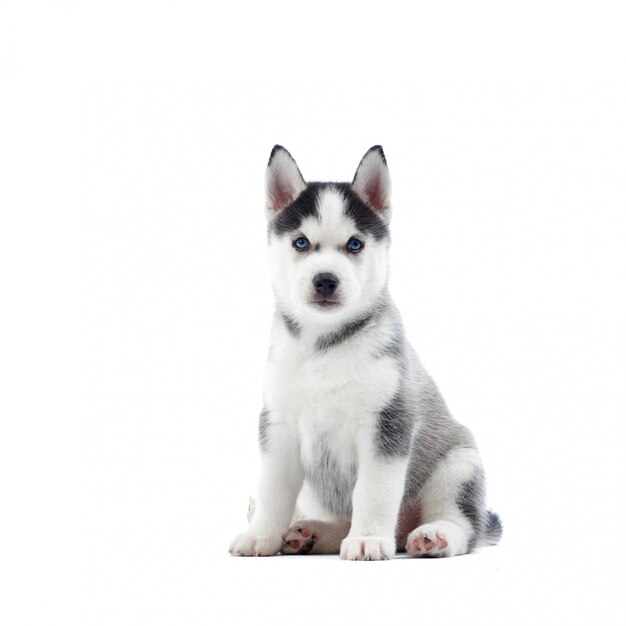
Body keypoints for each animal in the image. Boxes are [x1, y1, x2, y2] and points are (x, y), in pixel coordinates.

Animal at [227, 147, 500, 560]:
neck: (323, 346)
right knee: (339, 519)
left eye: (355, 245)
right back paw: (308, 534)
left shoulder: (387, 424)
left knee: (463, 526)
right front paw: (261, 535)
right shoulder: (278, 425)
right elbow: (272, 488)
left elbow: (375, 491)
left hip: (459, 465)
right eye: (301, 243)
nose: (325, 280)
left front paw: (369, 538)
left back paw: (433, 536)